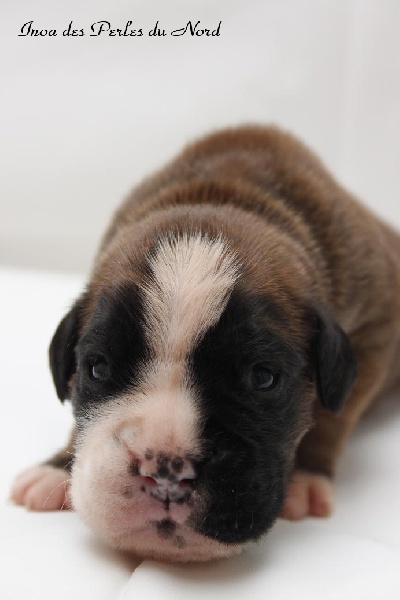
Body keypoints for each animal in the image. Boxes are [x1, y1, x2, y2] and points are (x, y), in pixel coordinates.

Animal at [11, 125, 400, 562]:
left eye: (263, 379)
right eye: (97, 368)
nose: (166, 470)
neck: (223, 195)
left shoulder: (375, 329)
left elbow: (335, 416)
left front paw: (306, 476)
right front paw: (57, 466)